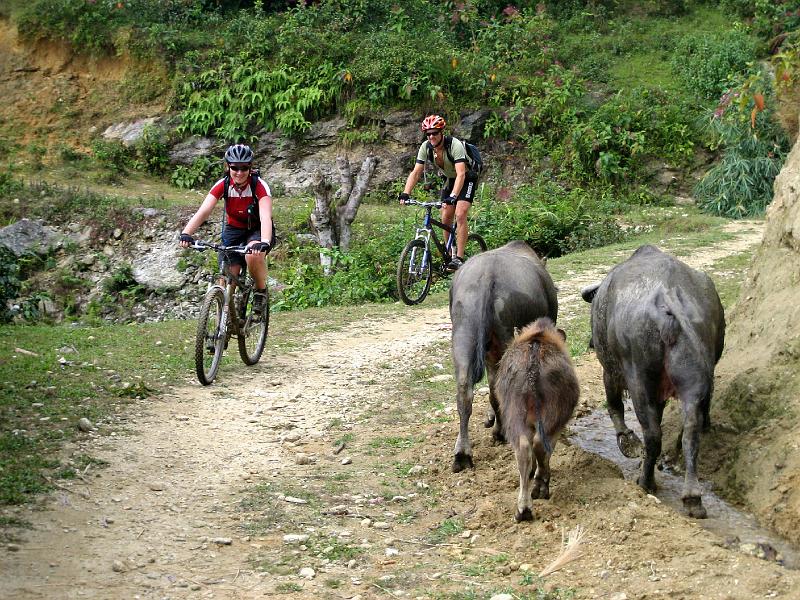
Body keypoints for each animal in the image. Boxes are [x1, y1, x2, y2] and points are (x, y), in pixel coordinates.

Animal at [496, 318, 580, 520]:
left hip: (514, 415)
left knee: (523, 449)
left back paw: (523, 509)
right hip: (552, 418)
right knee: (540, 446)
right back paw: (540, 488)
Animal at [580, 243, 724, 516]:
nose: (590, 343)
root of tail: (670, 295)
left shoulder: (610, 371)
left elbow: (614, 405)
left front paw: (626, 441)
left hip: (639, 379)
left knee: (653, 434)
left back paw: (646, 482)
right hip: (692, 380)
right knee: (690, 431)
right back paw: (692, 497)